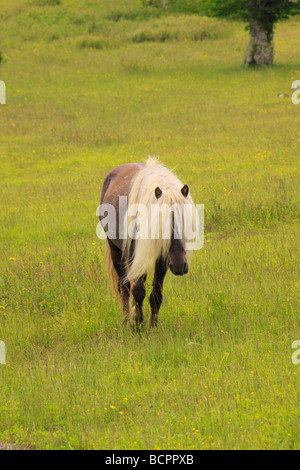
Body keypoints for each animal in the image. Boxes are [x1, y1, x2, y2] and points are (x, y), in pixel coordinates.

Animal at [99, 158, 198, 326]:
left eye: (185, 220)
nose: (179, 266)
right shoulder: (134, 255)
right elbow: (137, 290)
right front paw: (137, 323)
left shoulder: (163, 257)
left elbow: (156, 295)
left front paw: (152, 326)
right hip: (115, 250)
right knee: (124, 287)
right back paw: (126, 320)